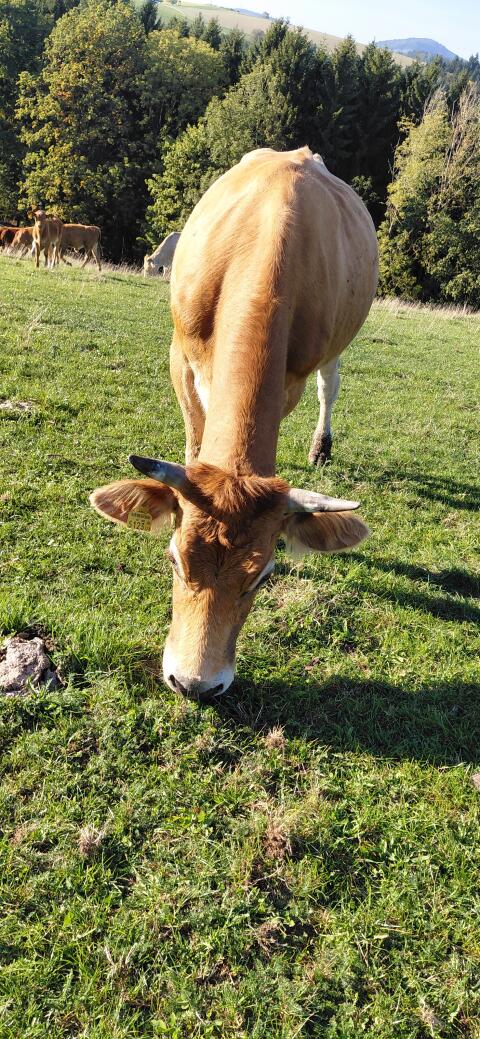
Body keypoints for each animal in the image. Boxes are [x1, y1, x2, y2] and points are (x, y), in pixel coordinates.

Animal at [90, 146, 378, 699]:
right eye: (174, 558)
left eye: (263, 577)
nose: (195, 684)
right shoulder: (180, 357)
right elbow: (193, 446)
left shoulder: (289, 380)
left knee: (330, 386)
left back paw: (322, 446)